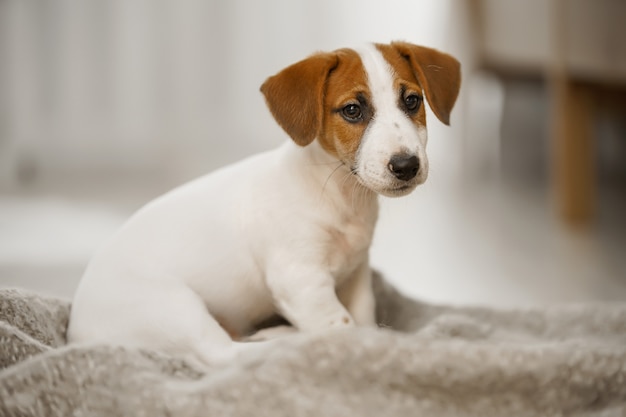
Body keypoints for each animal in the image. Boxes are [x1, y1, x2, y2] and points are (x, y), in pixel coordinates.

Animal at [67, 41, 458, 364]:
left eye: (411, 101)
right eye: (351, 110)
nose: (406, 165)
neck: (340, 195)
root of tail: (76, 334)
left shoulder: (357, 275)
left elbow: (363, 320)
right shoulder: (301, 281)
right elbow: (344, 330)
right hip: (175, 308)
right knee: (224, 354)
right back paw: (283, 341)